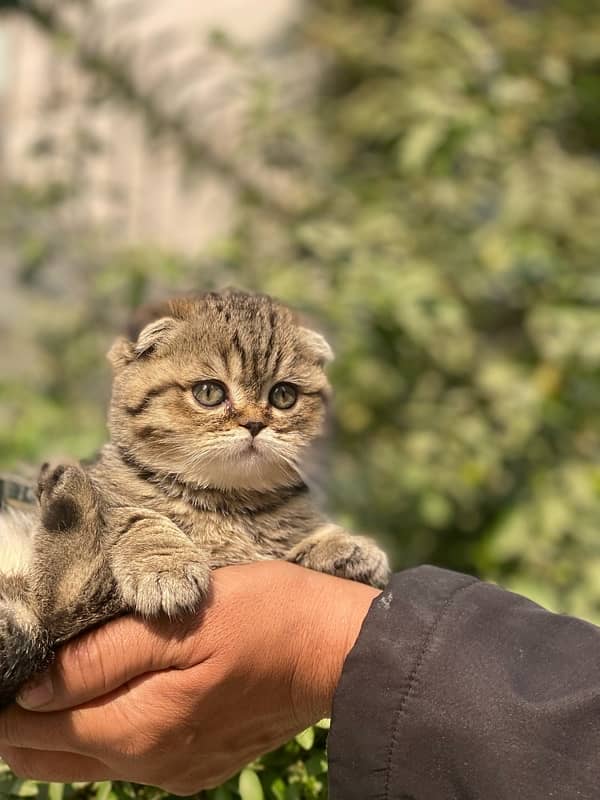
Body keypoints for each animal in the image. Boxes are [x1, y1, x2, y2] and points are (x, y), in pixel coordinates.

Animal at [0, 292, 390, 708]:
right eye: (210, 393)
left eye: (284, 396)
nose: (255, 424)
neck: (230, 504)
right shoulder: (116, 494)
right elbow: (137, 515)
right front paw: (165, 565)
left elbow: (303, 533)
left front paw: (346, 546)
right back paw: (67, 498)